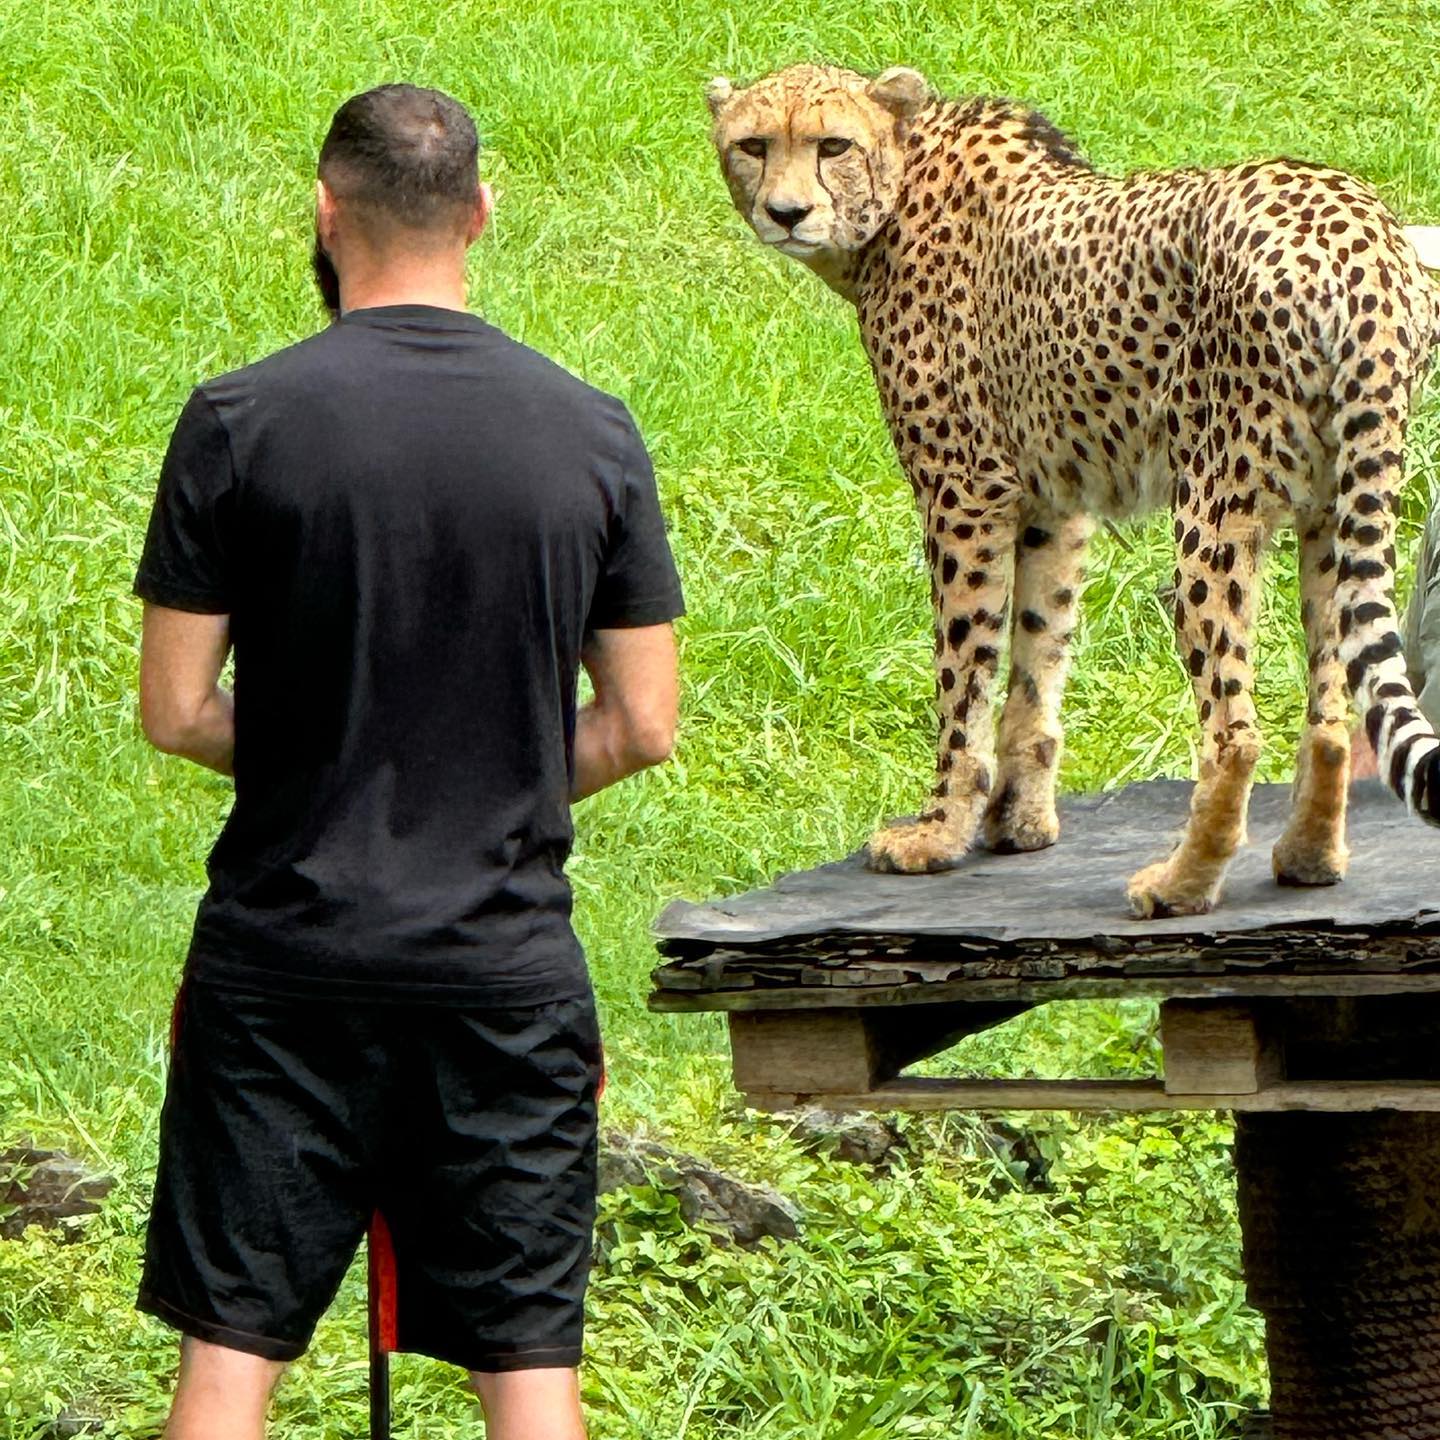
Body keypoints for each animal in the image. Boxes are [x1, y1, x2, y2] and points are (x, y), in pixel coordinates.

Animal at [705, 61, 1440, 915]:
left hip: (1214, 508)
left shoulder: (963, 493)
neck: (899, 189)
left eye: (832, 145)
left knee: (1234, 730)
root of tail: (1356, 225)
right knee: (1330, 708)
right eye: (754, 144)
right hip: (1336, 503)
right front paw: (1020, 821)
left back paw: (1181, 884)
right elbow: (1037, 657)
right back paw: (1308, 857)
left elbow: (963, 677)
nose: (786, 213)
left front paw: (940, 830)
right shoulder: (1052, 503)